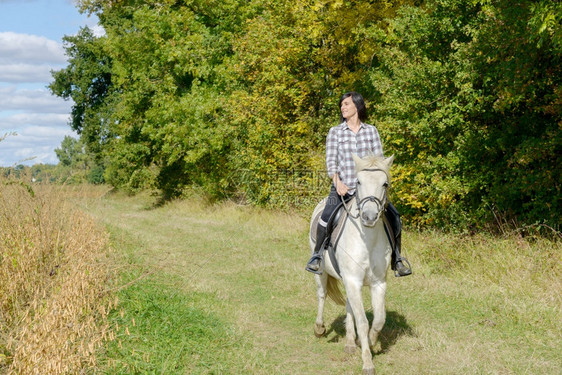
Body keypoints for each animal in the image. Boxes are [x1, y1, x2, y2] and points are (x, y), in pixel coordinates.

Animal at [308, 153, 392, 375]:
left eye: (385, 183)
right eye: (359, 181)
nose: (369, 217)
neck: (367, 240)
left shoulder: (377, 283)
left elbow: (378, 320)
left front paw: (369, 342)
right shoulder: (353, 280)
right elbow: (363, 322)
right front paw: (368, 362)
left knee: (349, 305)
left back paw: (349, 342)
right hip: (321, 272)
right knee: (322, 294)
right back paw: (319, 328)